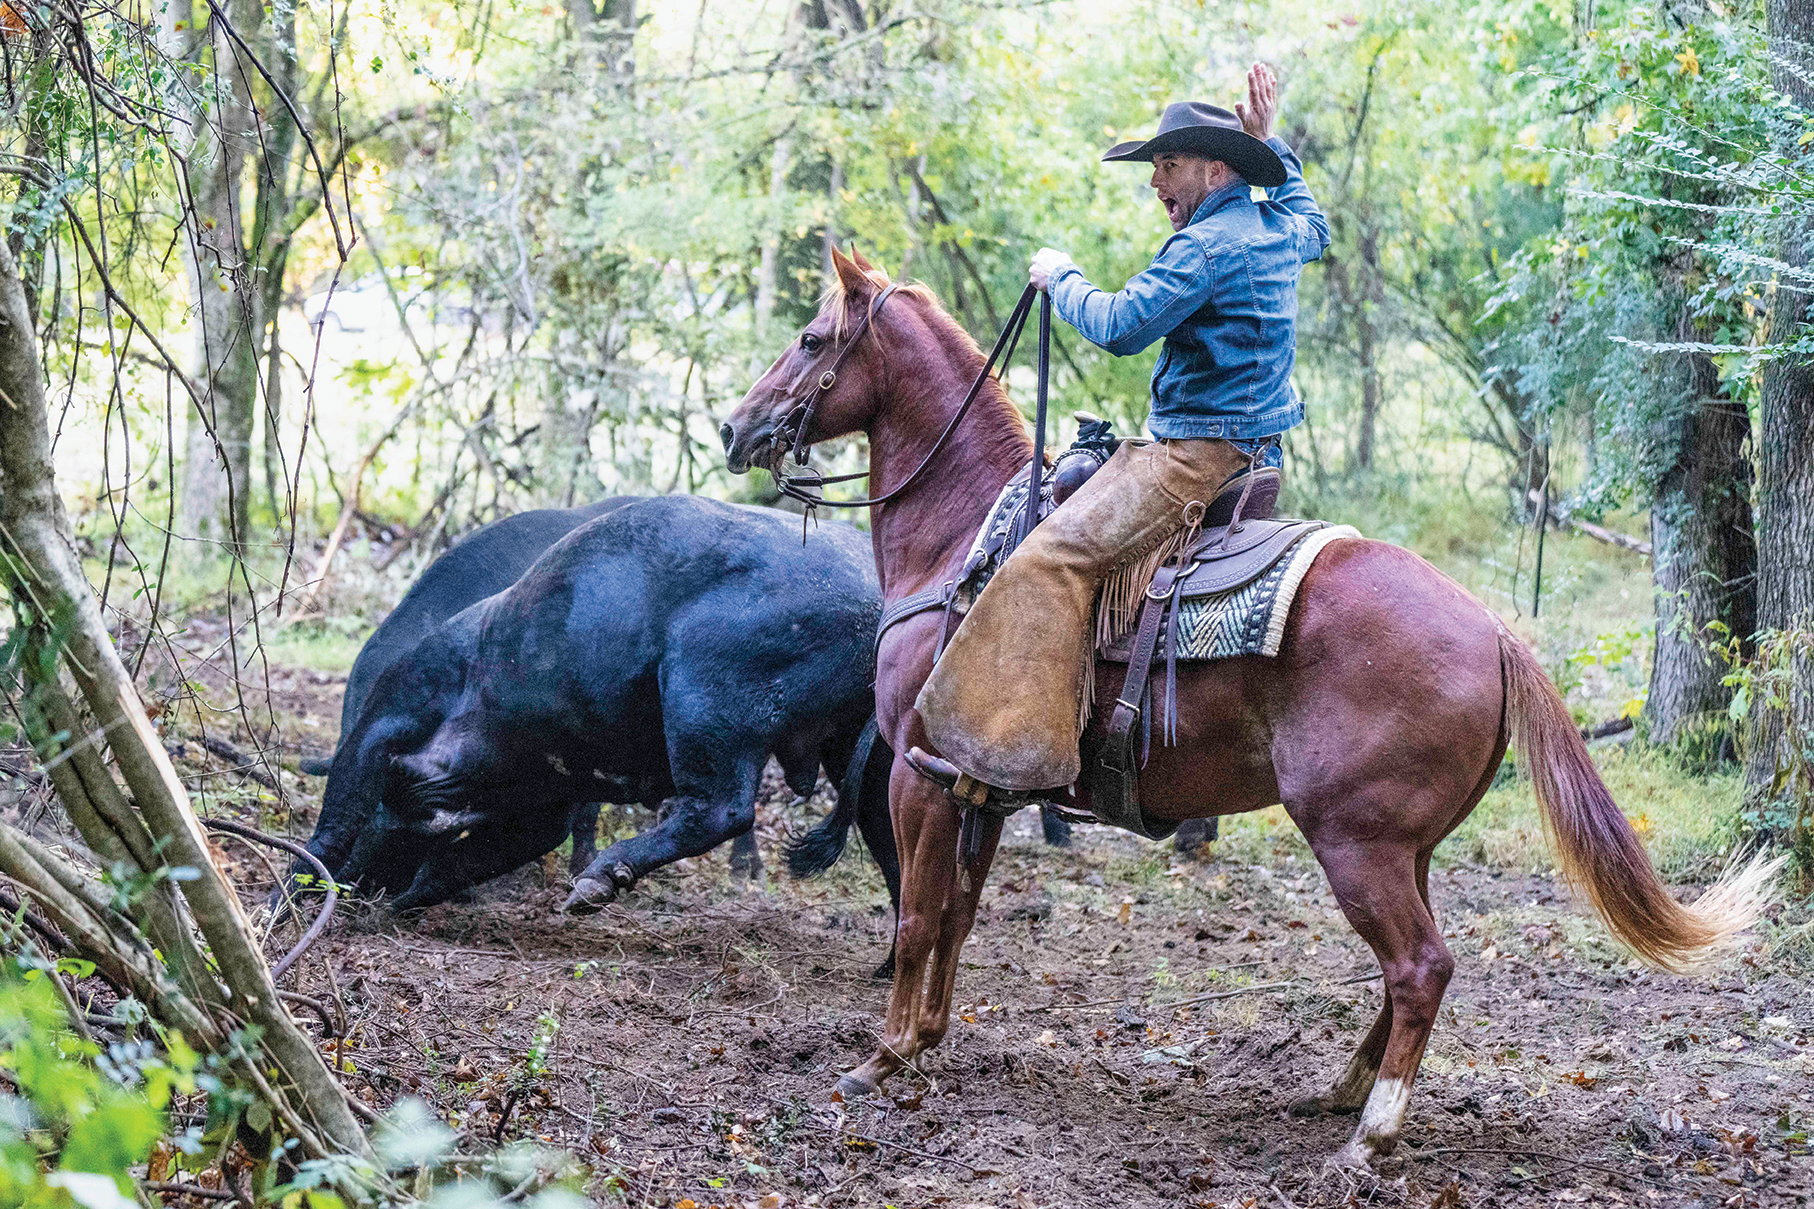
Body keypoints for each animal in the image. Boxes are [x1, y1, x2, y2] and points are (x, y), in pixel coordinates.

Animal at [295, 493, 907, 918]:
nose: (371, 886)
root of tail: (877, 602)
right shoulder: (542, 805)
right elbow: (466, 861)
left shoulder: (389, 721)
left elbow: (335, 825)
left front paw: (299, 895)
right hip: (861, 752)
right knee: (891, 838)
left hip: (705, 693)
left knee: (722, 810)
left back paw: (598, 881)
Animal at [721, 248, 1770, 1161]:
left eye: (813, 338)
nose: (737, 428)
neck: (963, 543)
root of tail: (1494, 632)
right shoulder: (976, 783)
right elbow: (957, 913)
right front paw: (931, 1037)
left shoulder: (920, 769)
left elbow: (914, 916)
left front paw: (883, 1057)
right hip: (1407, 846)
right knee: (1412, 968)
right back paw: (1341, 1091)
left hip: (1353, 841)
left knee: (1420, 966)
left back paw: (1370, 1135)